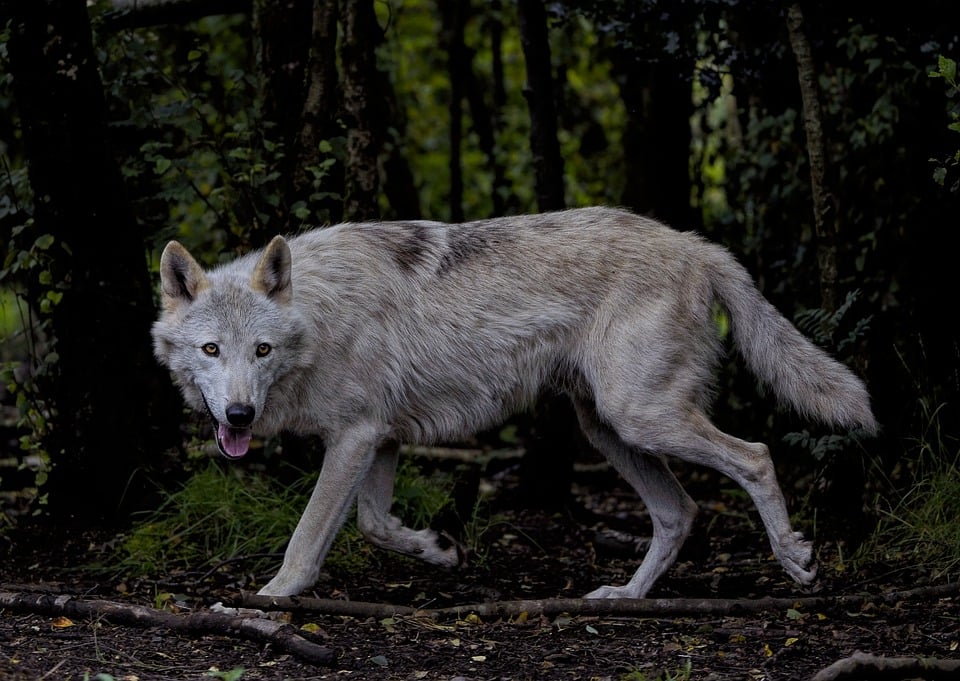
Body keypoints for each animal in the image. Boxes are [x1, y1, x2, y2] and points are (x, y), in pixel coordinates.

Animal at [152, 205, 876, 596]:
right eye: (212, 350)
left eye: (262, 351)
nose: (239, 416)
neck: (318, 315)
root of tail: (696, 244)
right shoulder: (379, 437)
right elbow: (376, 525)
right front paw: (441, 549)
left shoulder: (355, 437)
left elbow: (307, 539)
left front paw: (271, 596)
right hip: (611, 429)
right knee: (681, 511)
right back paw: (624, 595)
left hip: (642, 418)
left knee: (755, 456)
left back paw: (795, 560)